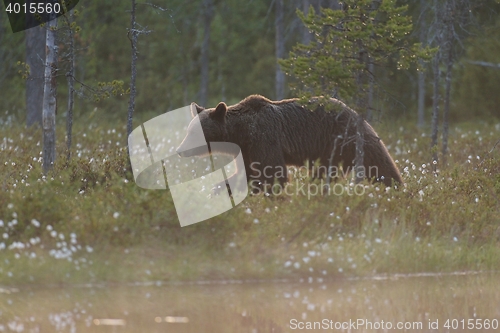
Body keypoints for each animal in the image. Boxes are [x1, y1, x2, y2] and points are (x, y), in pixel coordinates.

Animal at [176, 94, 402, 191]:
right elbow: (244, 174)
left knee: (379, 164)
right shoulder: (247, 150)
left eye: (193, 132)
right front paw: (219, 189)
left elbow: (272, 173)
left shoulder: (264, 139)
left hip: (341, 141)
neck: (241, 134)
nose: (179, 150)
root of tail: (356, 114)